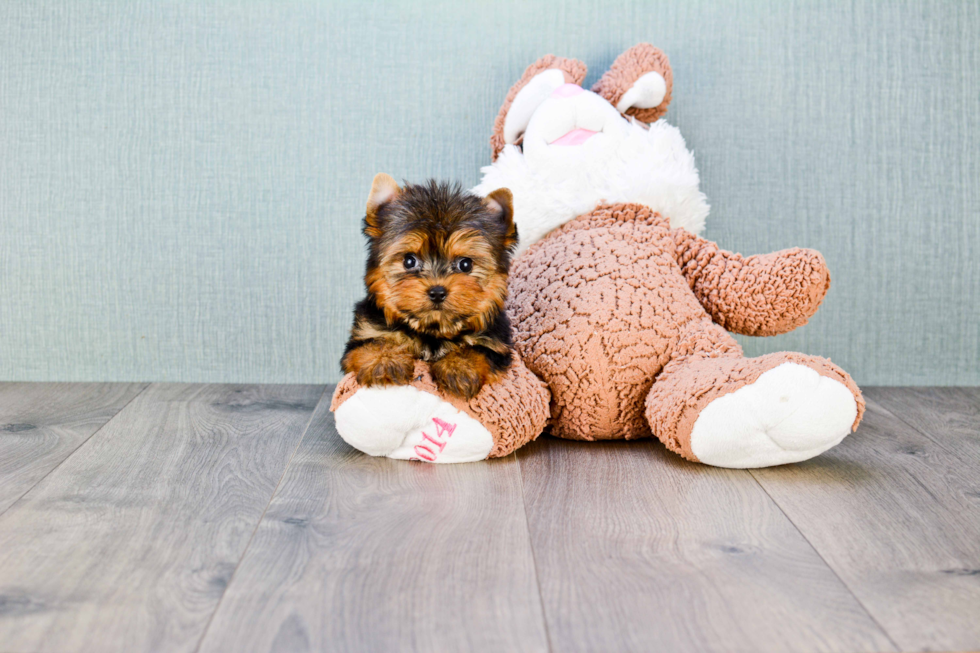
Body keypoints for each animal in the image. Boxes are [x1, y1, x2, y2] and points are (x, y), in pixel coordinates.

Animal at [340, 174, 516, 398]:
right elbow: (373, 343)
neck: (433, 330)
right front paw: (384, 362)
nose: (437, 292)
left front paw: (460, 368)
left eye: (465, 264)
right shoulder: (365, 332)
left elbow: (477, 350)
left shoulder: (496, 344)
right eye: (409, 261)